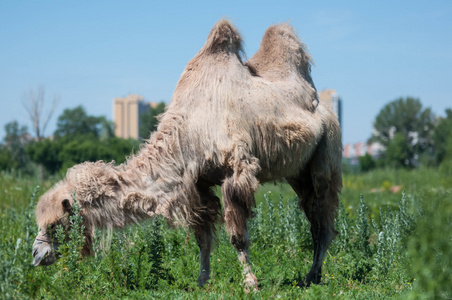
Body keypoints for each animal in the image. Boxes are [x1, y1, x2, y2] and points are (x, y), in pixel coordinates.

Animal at [32, 19, 342, 290]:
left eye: (56, 223)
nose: (36, 255)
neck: (187, 135)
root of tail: (322, 104)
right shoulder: (198, 184)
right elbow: (202, 237)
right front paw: (202, 281)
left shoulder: (235, 173)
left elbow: (237, 238)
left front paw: (250, 283)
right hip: (297, 173)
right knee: (313, 214)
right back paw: (312, 274)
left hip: (327, 149)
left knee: (323, 216)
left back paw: (312, 276)